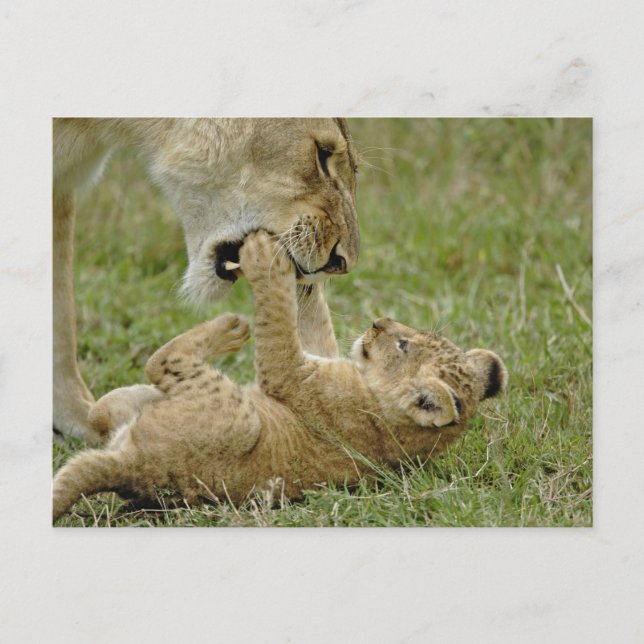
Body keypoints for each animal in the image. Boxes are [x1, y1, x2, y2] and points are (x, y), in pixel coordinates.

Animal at [52, 231, 507, 522]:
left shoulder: (291, 376)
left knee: (162, 361)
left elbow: (278, 324)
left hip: (239, 420)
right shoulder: (322, 357)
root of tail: (134, 468)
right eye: (411, 337)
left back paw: (231, 328)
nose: (378, 322)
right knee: (99, 415)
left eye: (403, 345)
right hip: (127, 402)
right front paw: (308, 272)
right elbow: (311, 322)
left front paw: (263, 257)